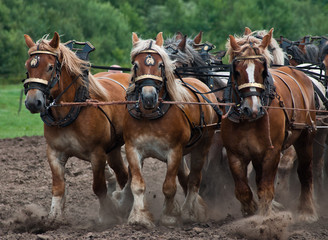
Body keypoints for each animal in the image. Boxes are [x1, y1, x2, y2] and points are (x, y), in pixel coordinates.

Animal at [23, 32, 127, 224]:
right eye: (28, 66)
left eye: (50, 67)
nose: (33, 102)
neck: (72, 109)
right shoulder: (54, 153)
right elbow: (58, 187)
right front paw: (54, 217)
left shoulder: (97, 154)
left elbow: (98, 187)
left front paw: (106, 215)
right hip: (114, 149)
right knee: (122, 174)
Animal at [119, 32, 219, 228]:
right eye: (136, 65)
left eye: (160, 64)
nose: (148, 97)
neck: (151, 115)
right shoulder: (133, 149)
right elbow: (137, 184)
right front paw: (139, 217)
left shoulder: (174, 151)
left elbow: (169, 186)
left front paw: (169, 216)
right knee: (185, 177)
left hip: (202, 146)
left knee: (194, 179)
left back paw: (190, 211)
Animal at [223, 29, 318, 222]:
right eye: (237, 71)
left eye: (262, 70)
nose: (251, 108)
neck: (249, 120)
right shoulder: (234, 153)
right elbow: (243, 190)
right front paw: (250, 210)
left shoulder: (272, 152)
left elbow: (266, 188)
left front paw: (264, 219)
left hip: (306, 137)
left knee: (305, 172)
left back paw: (307, 211)